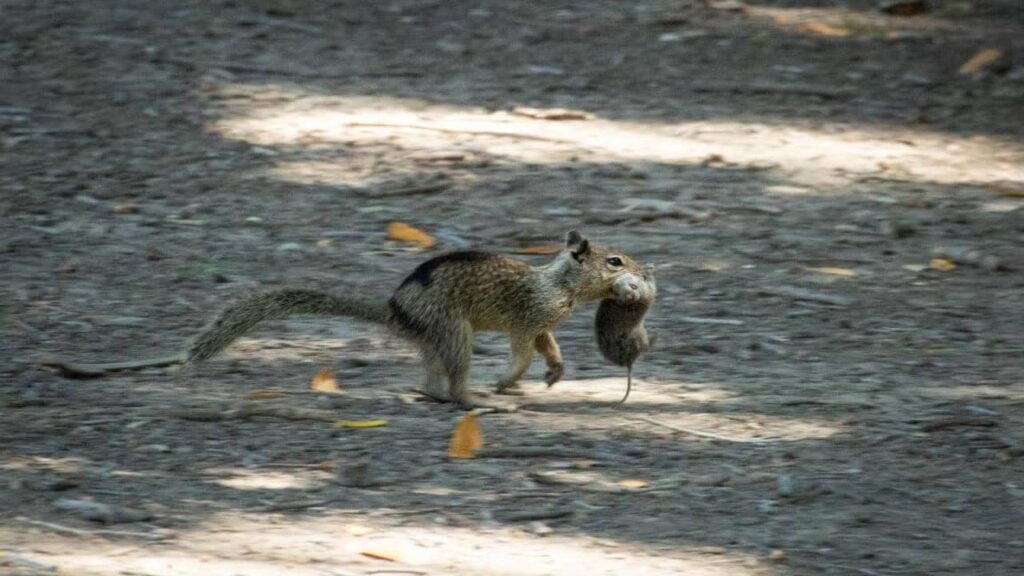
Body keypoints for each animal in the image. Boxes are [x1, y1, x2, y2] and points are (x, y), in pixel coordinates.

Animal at [185, 228, 647, 407]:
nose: (644, 273)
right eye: (614, 261)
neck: (560, 285)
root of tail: (395, 311)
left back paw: (433, 393)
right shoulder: (527, 318)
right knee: (456, 383)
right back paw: (477, 399)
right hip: (454, 331)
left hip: (434, 339)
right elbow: (523, 353)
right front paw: (507, 379)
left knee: (433, 380)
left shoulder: (543, 325)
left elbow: (548, 346)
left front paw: (554, 371)